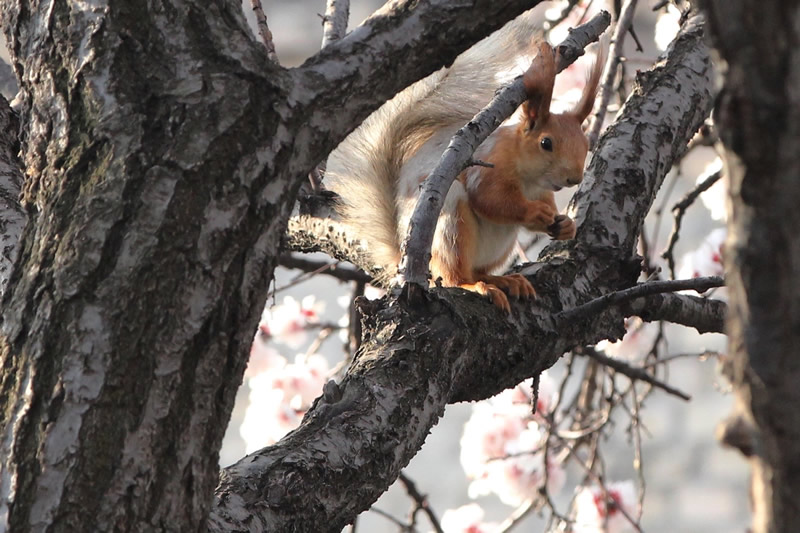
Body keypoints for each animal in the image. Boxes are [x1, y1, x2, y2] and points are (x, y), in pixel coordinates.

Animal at [326, 16, 600, 310]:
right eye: (546, 143)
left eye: (585, 144)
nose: (574, 178)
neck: (530, 179)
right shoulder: (490, 165)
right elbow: (491, 199)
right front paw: (534, 213)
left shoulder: (543, 190)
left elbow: (546, 204)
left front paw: (565, 225)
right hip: (450, 225)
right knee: (456, 276)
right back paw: (478, 286)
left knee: (478, 270)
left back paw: (503, 280)